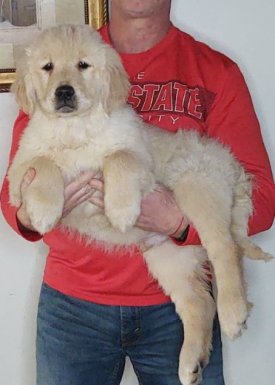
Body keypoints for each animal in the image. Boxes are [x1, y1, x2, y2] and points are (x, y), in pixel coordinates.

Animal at [7, 24, 272, 384]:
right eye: (47, 67)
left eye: (83, 65)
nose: (64, 92)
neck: (75, 130)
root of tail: (232, 166)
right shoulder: (17, 173)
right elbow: (44, 163)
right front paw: (45, 212)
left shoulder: (139, 158)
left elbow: (119, 157)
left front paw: (120, 210)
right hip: (166, 255)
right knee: (198, 301)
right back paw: (190, 364)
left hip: (196, 185)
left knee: (225, 249)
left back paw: (233, 313)